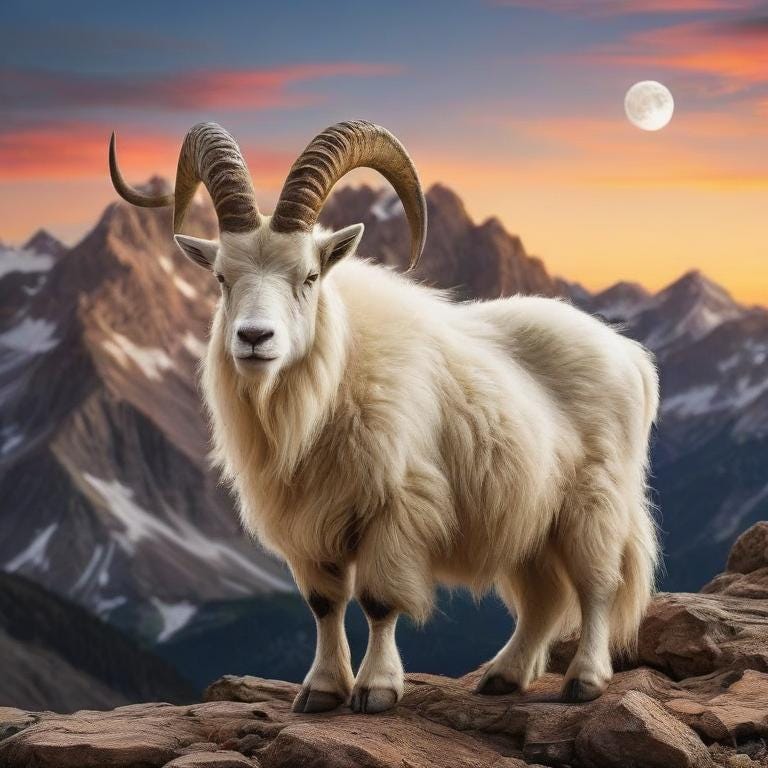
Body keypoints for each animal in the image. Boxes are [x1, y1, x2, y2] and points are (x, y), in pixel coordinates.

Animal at [110, 120, 659, 714]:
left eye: (309, 276)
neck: (330, 381)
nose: (255, 338)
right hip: (531, 516)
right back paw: (504, 676)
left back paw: (585, 680)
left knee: (598, 584)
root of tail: (629, 355)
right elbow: (324, 604)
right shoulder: (307, 525)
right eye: (220, 277)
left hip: (594, 500)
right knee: (544, 596)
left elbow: (377, 602)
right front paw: (323, 689)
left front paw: (375, 689)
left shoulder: (395, 508)